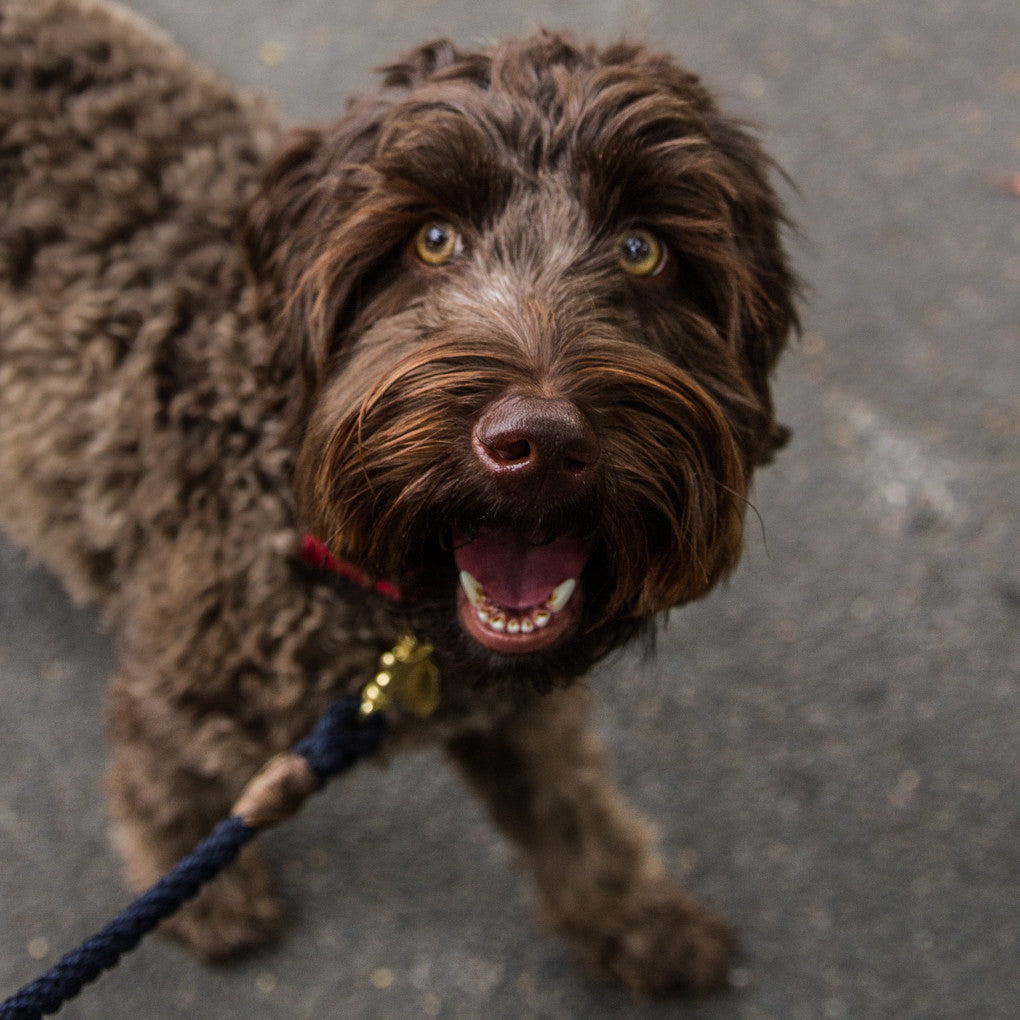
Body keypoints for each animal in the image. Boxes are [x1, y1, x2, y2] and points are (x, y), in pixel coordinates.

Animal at [0, 0, 795, 991]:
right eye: (433, 240)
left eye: (644, 249)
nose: (540, 444)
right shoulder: (183, 695)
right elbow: (164, 789)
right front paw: (207, 900)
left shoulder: (520, 712)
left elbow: (577, 815)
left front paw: (639, 921)